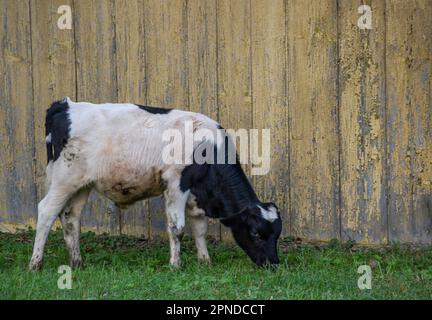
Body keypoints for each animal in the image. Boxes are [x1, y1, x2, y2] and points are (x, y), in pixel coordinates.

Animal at [28, 97, 282, 270]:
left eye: (276, 234)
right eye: (256, 233)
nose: (273, 264)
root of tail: (65, 105)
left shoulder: (196, 195)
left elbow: (199, 227)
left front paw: (205, 261)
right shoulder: (176, 184)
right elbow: (177, 228)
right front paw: (176, 265)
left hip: (82, 185)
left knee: (70, 218)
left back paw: (78, 262)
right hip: (64, 179)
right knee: (46, 211)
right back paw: (35, 264)